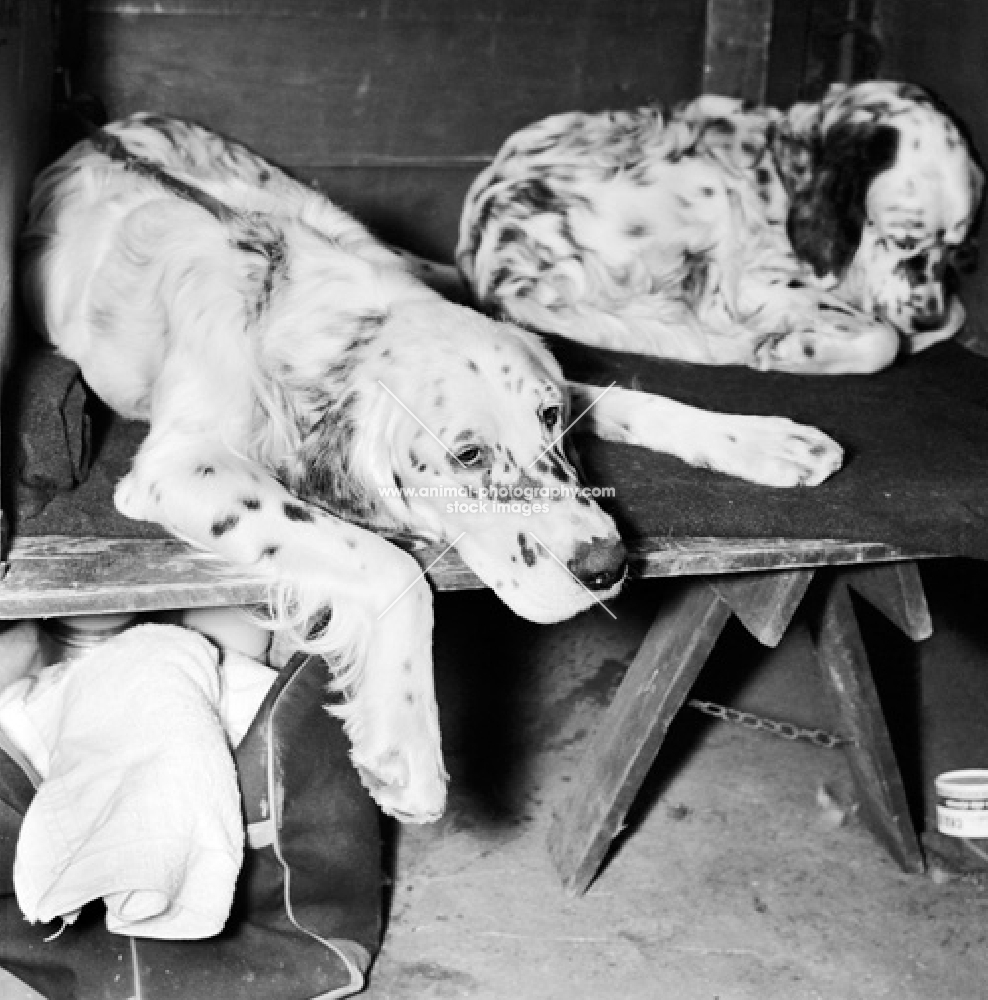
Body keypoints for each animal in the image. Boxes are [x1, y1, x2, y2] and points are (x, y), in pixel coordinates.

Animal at [21, 113, 840, 824]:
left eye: (549, 419)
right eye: (467, 456)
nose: (607, 567)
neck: (298, 306)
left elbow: (628, 399)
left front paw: (767, 440)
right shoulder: (181, 465)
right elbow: (391, 566)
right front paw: (407, 746)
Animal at [460, 79, 984, 376]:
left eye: (956, 248)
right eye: (901, 239)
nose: (926, 317)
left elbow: (952, 316)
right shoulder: (756, 282)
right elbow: (885, 339)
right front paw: (797, 351)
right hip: (705, 188)